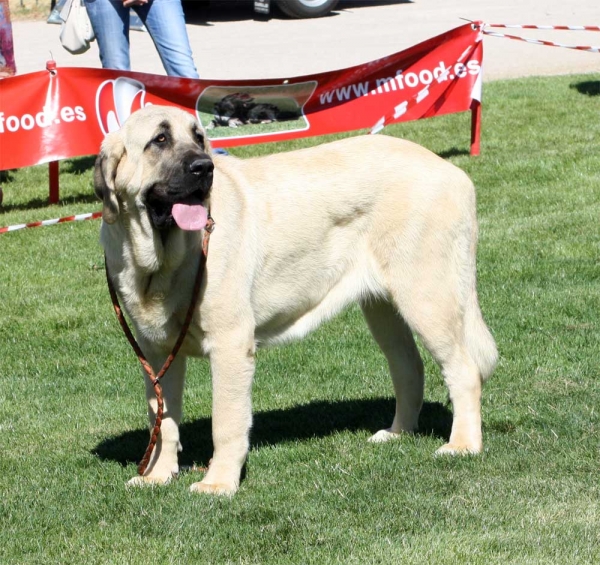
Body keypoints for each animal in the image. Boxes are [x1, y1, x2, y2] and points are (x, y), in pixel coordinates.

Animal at [94, 106, 496, 494]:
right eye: (159, 140)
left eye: (198, 138)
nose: (204, 167)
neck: (161, 262)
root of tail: (454, 173)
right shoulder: (157, 352)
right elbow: (162, 420)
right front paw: (157, 477)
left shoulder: (229, 344)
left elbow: (225, 421)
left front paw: (218, 483)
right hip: (384, 309)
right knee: (409, 366)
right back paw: (397, 433)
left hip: (428, 295)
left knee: (463, 370)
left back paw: (463, 445)